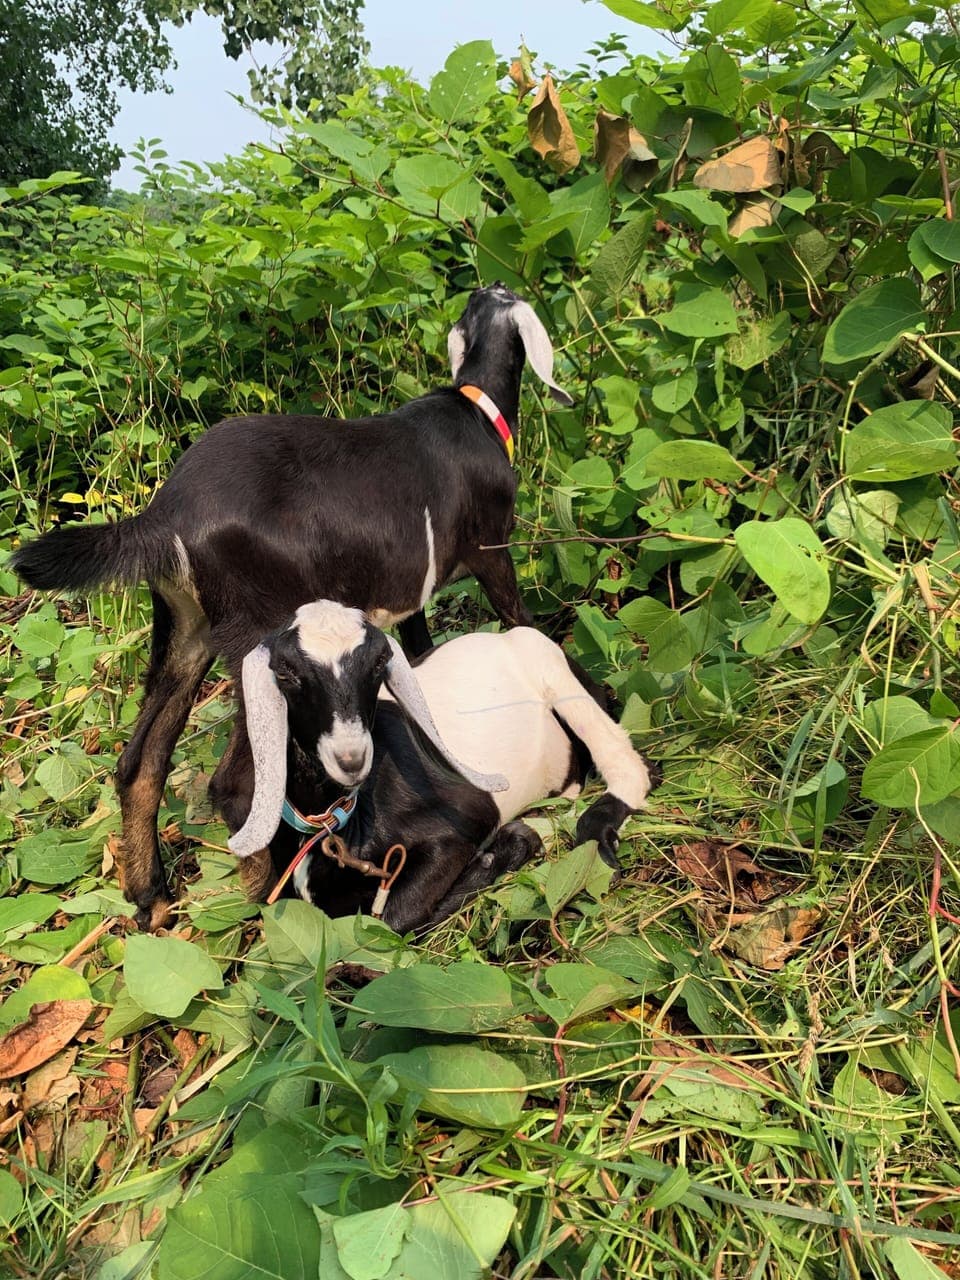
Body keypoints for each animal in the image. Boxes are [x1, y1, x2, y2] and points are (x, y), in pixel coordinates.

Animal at [11, 284, 574, 931]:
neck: (475, 406)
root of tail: (167, 513)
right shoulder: (492, 552)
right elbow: (519, 621)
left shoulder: (405, 597)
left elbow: (420, 654)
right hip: (257, 638)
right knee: (235, 780)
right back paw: (264, 897)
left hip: (186, 628)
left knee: (140, 761)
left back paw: (150, 896)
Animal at [229, 600, 656, 934]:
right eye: (286, 673)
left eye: (378, 663)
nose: (350, 759)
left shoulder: (460, 825)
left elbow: (394, 919)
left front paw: (514, 842)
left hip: (549, 665)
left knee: (627, 764)